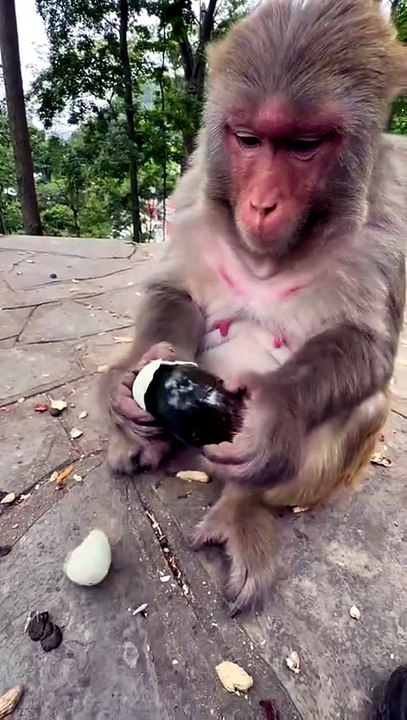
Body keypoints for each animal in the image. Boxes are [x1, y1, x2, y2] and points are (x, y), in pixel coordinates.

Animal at [100, 0, 407, 614]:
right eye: (248, 139)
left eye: (303, 146)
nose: (262, 204)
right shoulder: (194, 186)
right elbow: (175, 293)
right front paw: (135, 382)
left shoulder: (393, 209)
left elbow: (367, 344)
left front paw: (272, 414)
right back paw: (138, 440)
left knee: (364, 407)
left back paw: (242, 506)